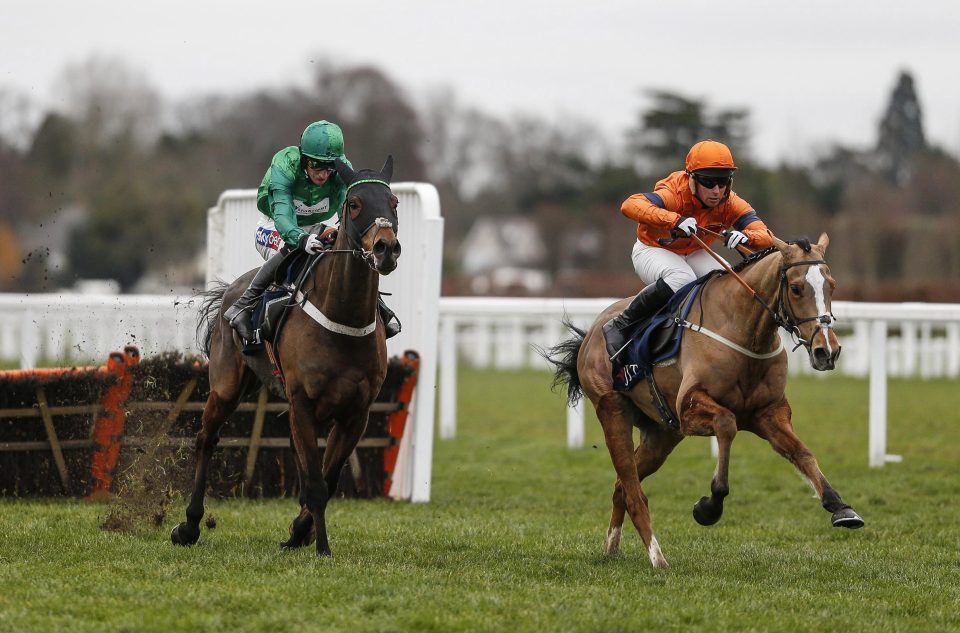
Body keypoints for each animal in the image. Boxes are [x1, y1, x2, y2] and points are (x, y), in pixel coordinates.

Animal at [544, 232, 868, 568]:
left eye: (831, 285)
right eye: (796, 287)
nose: (827, 351)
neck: (744, 331)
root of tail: (593, 331)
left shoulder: (769, 413)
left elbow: (802, 453)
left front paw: (840, 507)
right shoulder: (690, 409)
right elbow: (727, 424)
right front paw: (710, 506)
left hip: (662, 433)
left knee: (622, 485)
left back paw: (612, 548)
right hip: (613, 410)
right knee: (632, 489)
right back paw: (657, 557)